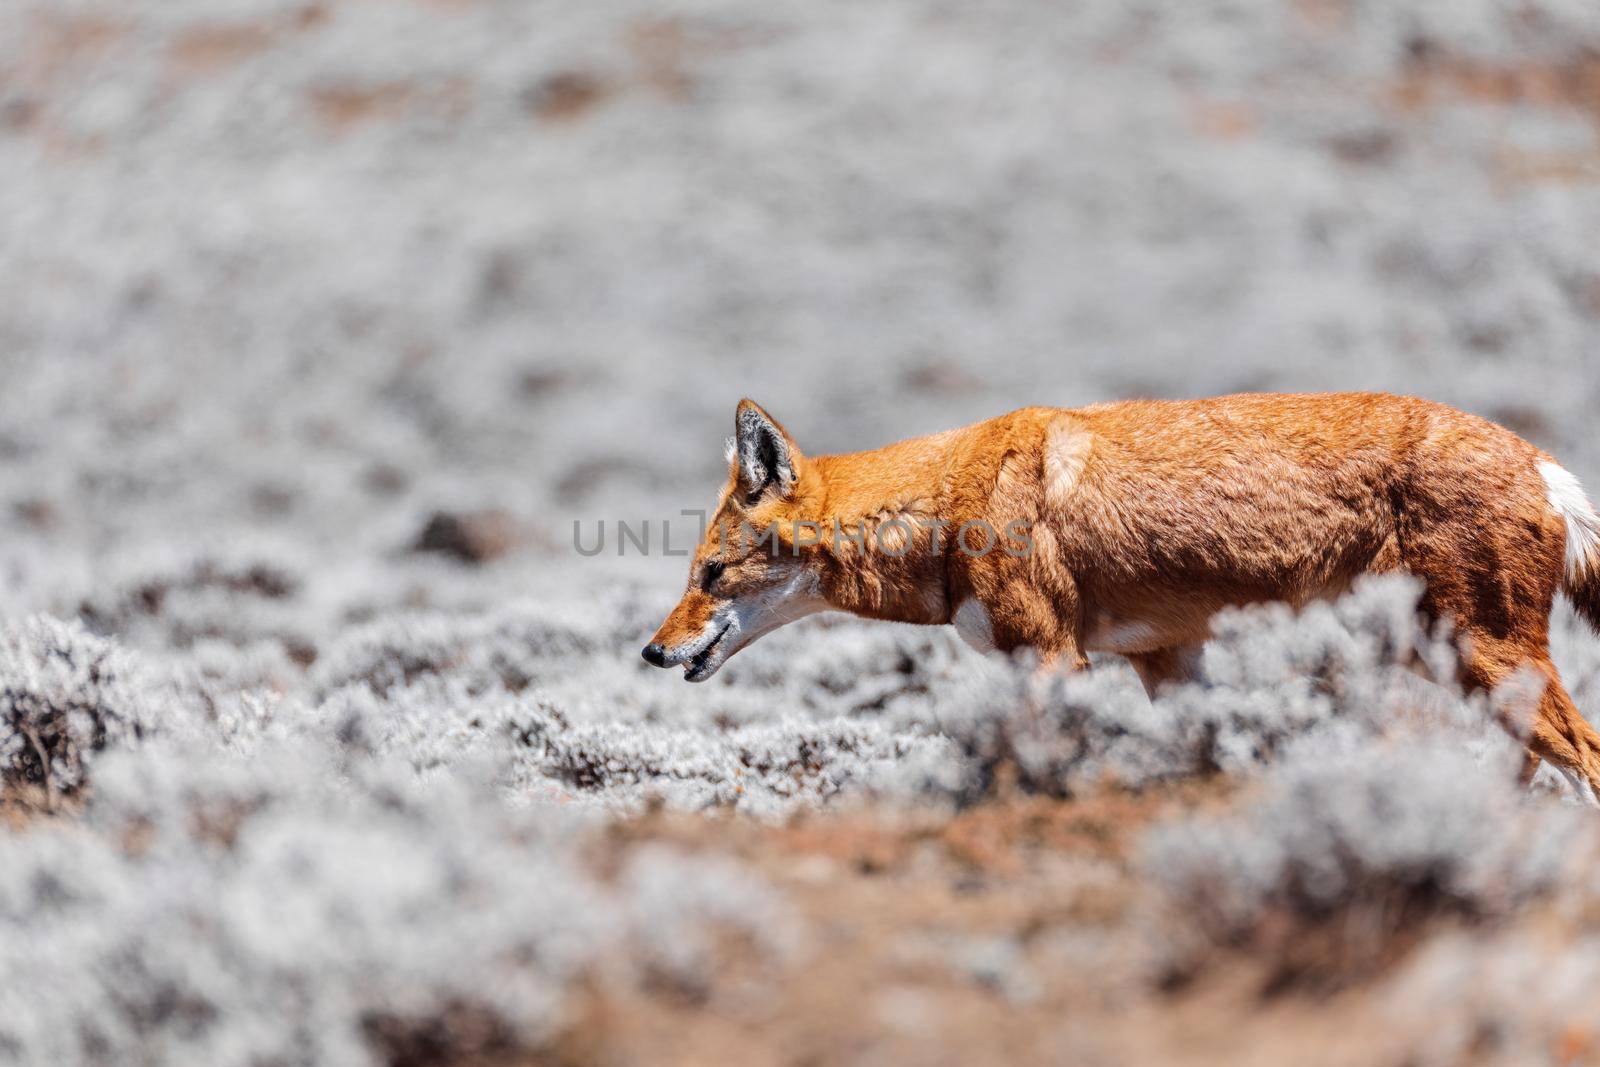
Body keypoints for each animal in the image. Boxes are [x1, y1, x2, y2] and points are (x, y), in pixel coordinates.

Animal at [643, 391, 1600, 793]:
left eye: (710, 575)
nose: (650, 650)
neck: (952, 500)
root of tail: (1541, 460)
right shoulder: (1166, 661)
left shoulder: (1053, 661)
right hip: (1456, 668)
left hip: (1479, 660)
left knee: (1582, 759)